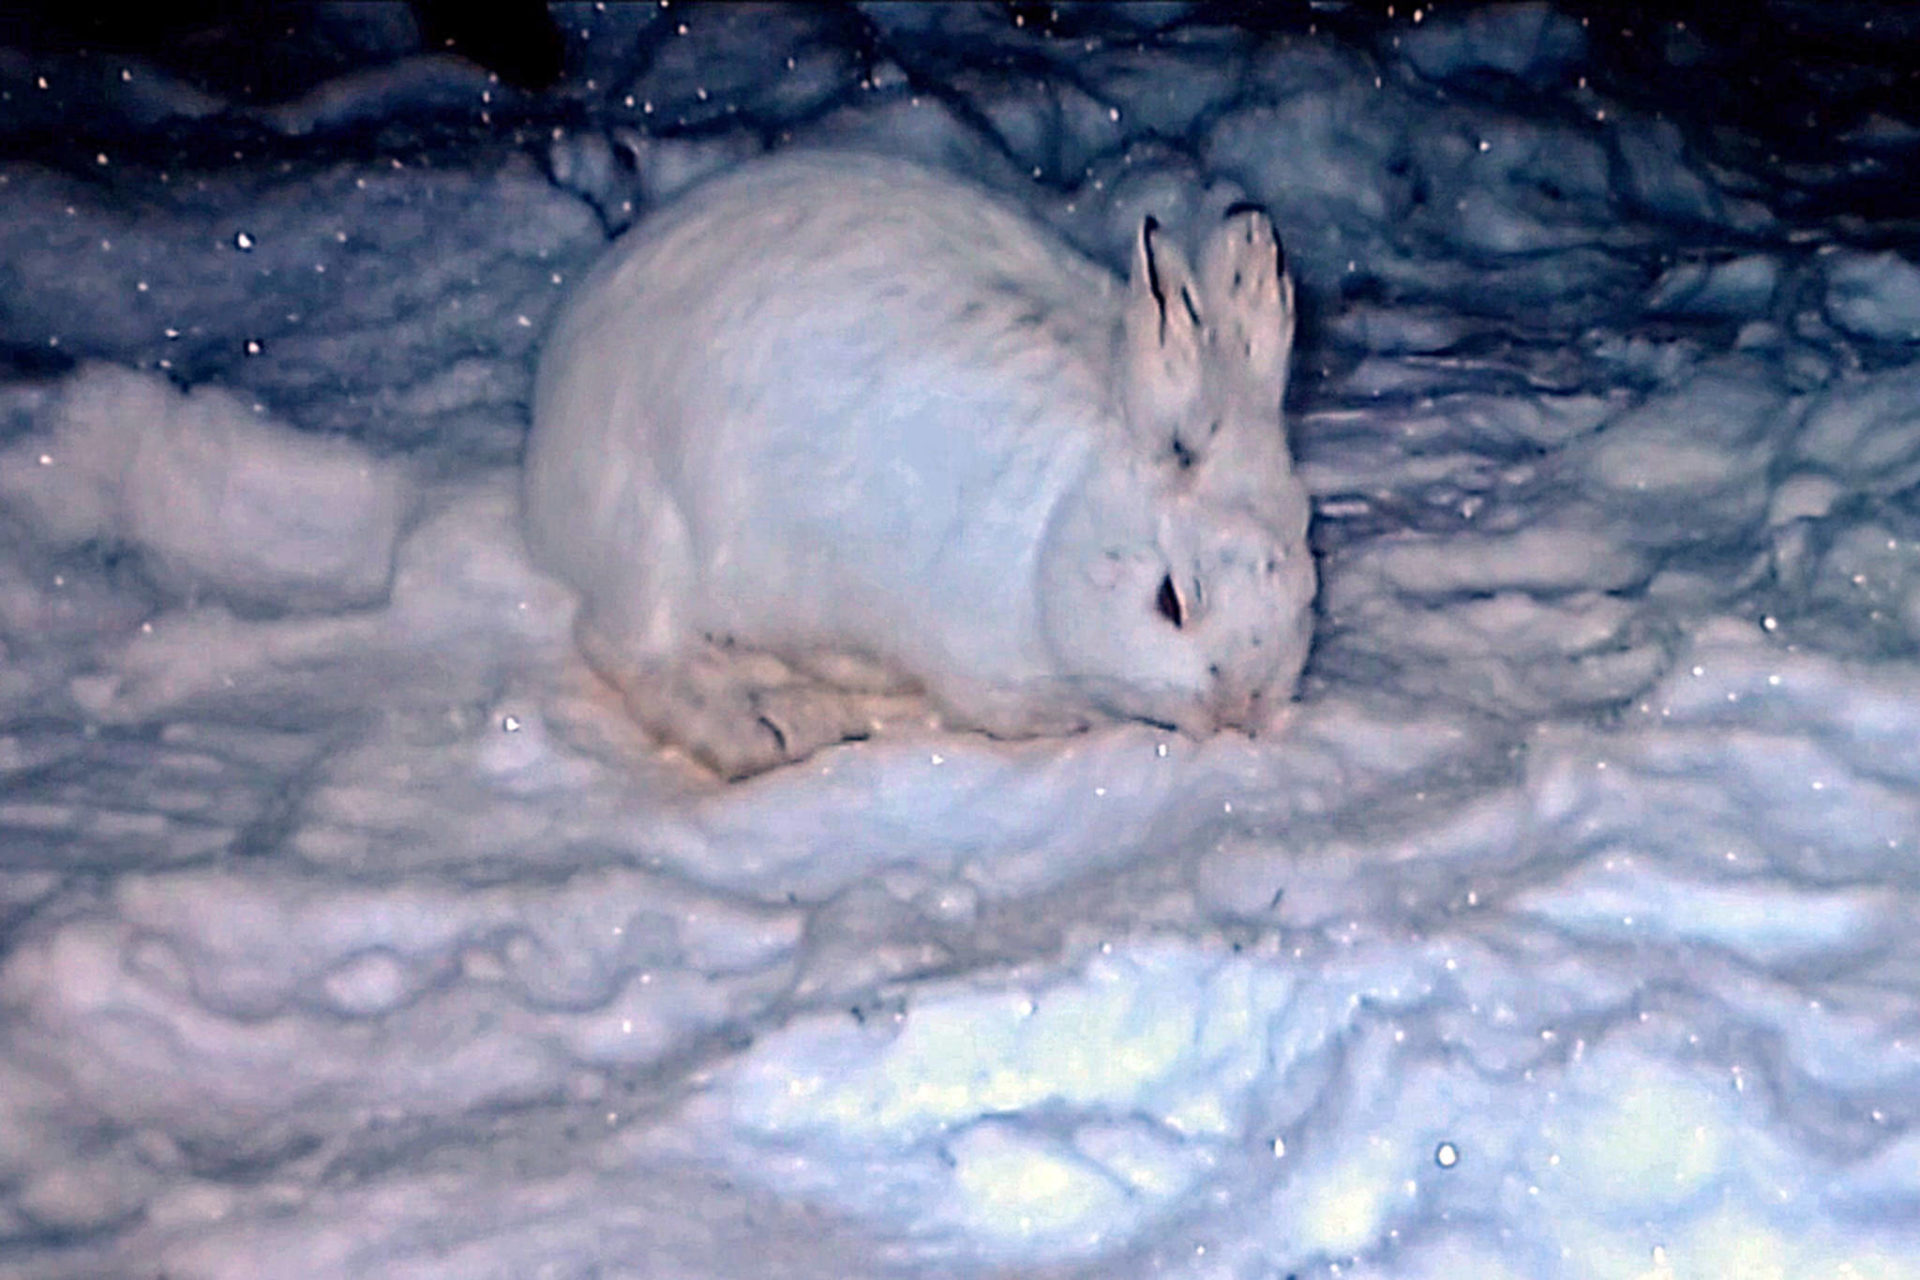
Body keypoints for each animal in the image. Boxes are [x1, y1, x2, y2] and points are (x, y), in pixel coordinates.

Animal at [523, 150, 1315, 779]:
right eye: (1170, 601)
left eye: (1307, 578)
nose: (1242, 708)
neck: (1057, 532)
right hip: (658, 532)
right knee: (631, 649)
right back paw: (763, 729)